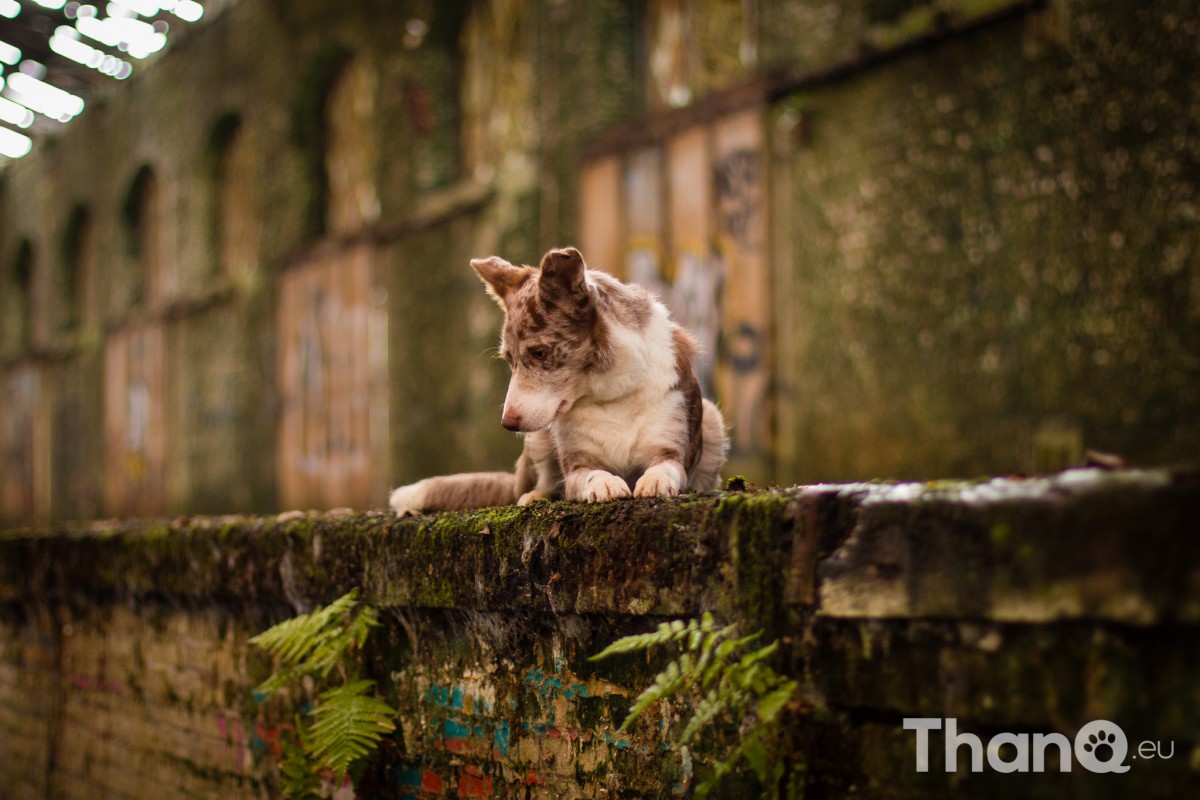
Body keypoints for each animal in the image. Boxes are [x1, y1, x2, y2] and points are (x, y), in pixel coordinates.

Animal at [393, 247, 724, 515]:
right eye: (509, 360)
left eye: (539, 353)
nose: (507, 423)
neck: (610, 393)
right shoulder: (576, 466)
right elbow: (589, 475)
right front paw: (605, 484)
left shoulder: (671, 449)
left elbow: (666, 467)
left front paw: (654, 480)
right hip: (538, 438)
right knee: (542, 482)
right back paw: (534, 496)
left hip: (712, 418)